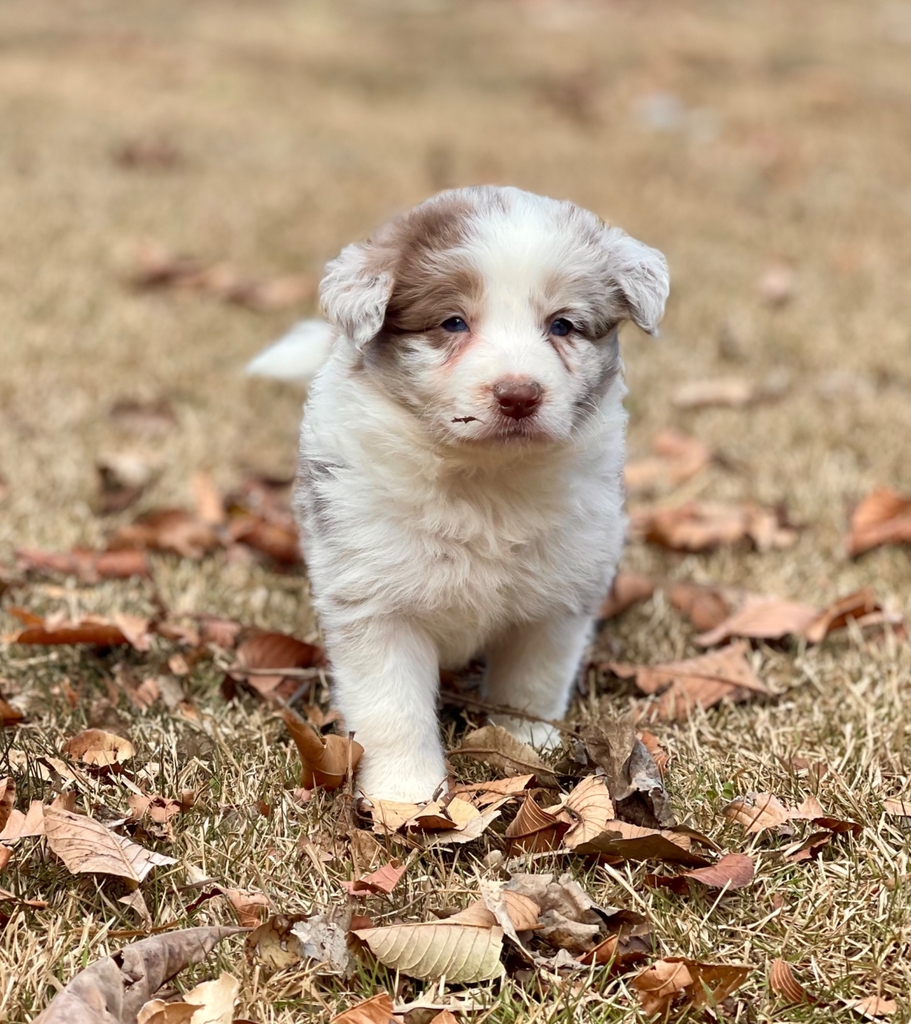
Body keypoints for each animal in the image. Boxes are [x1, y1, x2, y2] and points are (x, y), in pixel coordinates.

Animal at [248, 188, 667, 802]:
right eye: (453, 322)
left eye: (563, 325)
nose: (518, 394)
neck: (483, 483)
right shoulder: (375, 601)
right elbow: (393, 708)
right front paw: (405, 795)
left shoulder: (557, 595)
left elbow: (532, 683)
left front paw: (528, 744)